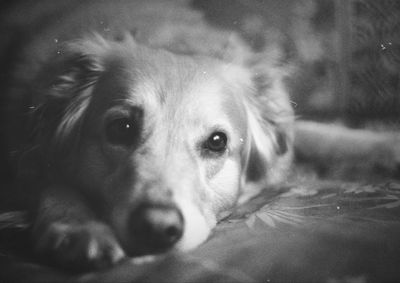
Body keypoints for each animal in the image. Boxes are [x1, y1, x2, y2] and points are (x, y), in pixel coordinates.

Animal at [1, 0, 398, 272]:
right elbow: (54, 184)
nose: (156, 228)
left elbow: (325, 135)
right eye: (121, 128)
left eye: (217, 142)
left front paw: (386, 145)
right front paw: (78, 228)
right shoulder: (23, 154)